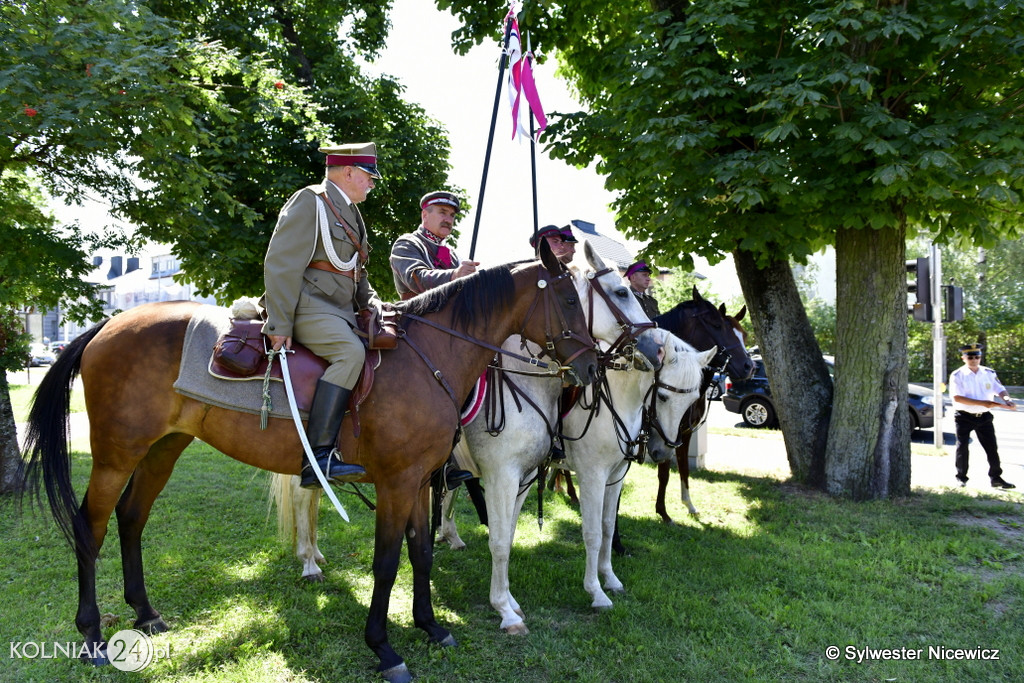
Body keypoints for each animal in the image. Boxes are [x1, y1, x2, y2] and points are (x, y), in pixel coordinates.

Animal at [22, 245, 598, 683]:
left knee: (132, 518)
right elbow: (387, 563)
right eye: (571, 298)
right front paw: (384, 648)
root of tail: (108, 325)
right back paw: (93, 635)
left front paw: (431, 627)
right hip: (116, 454)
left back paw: (144, 613)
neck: (427, 357)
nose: (592, 366)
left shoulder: (417, 483)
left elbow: (421, 554)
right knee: (91, 526)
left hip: (164, 448)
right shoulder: (396, 484)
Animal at [270, 241, 655, 581]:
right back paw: (309, 560)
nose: (651, 341)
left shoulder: (525, 473)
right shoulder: (522, 470)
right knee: (303, 493)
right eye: (620, 293)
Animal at [438, 325, 712, 630]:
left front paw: (610, 578)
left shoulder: (616, 476)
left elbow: (607, 526)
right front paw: (596, 592)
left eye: (692, 400)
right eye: (663, 397)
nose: (663, 451)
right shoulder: (592, 475)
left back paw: (450, 536)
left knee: (451, 491)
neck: (617, 399)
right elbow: (592, 533)